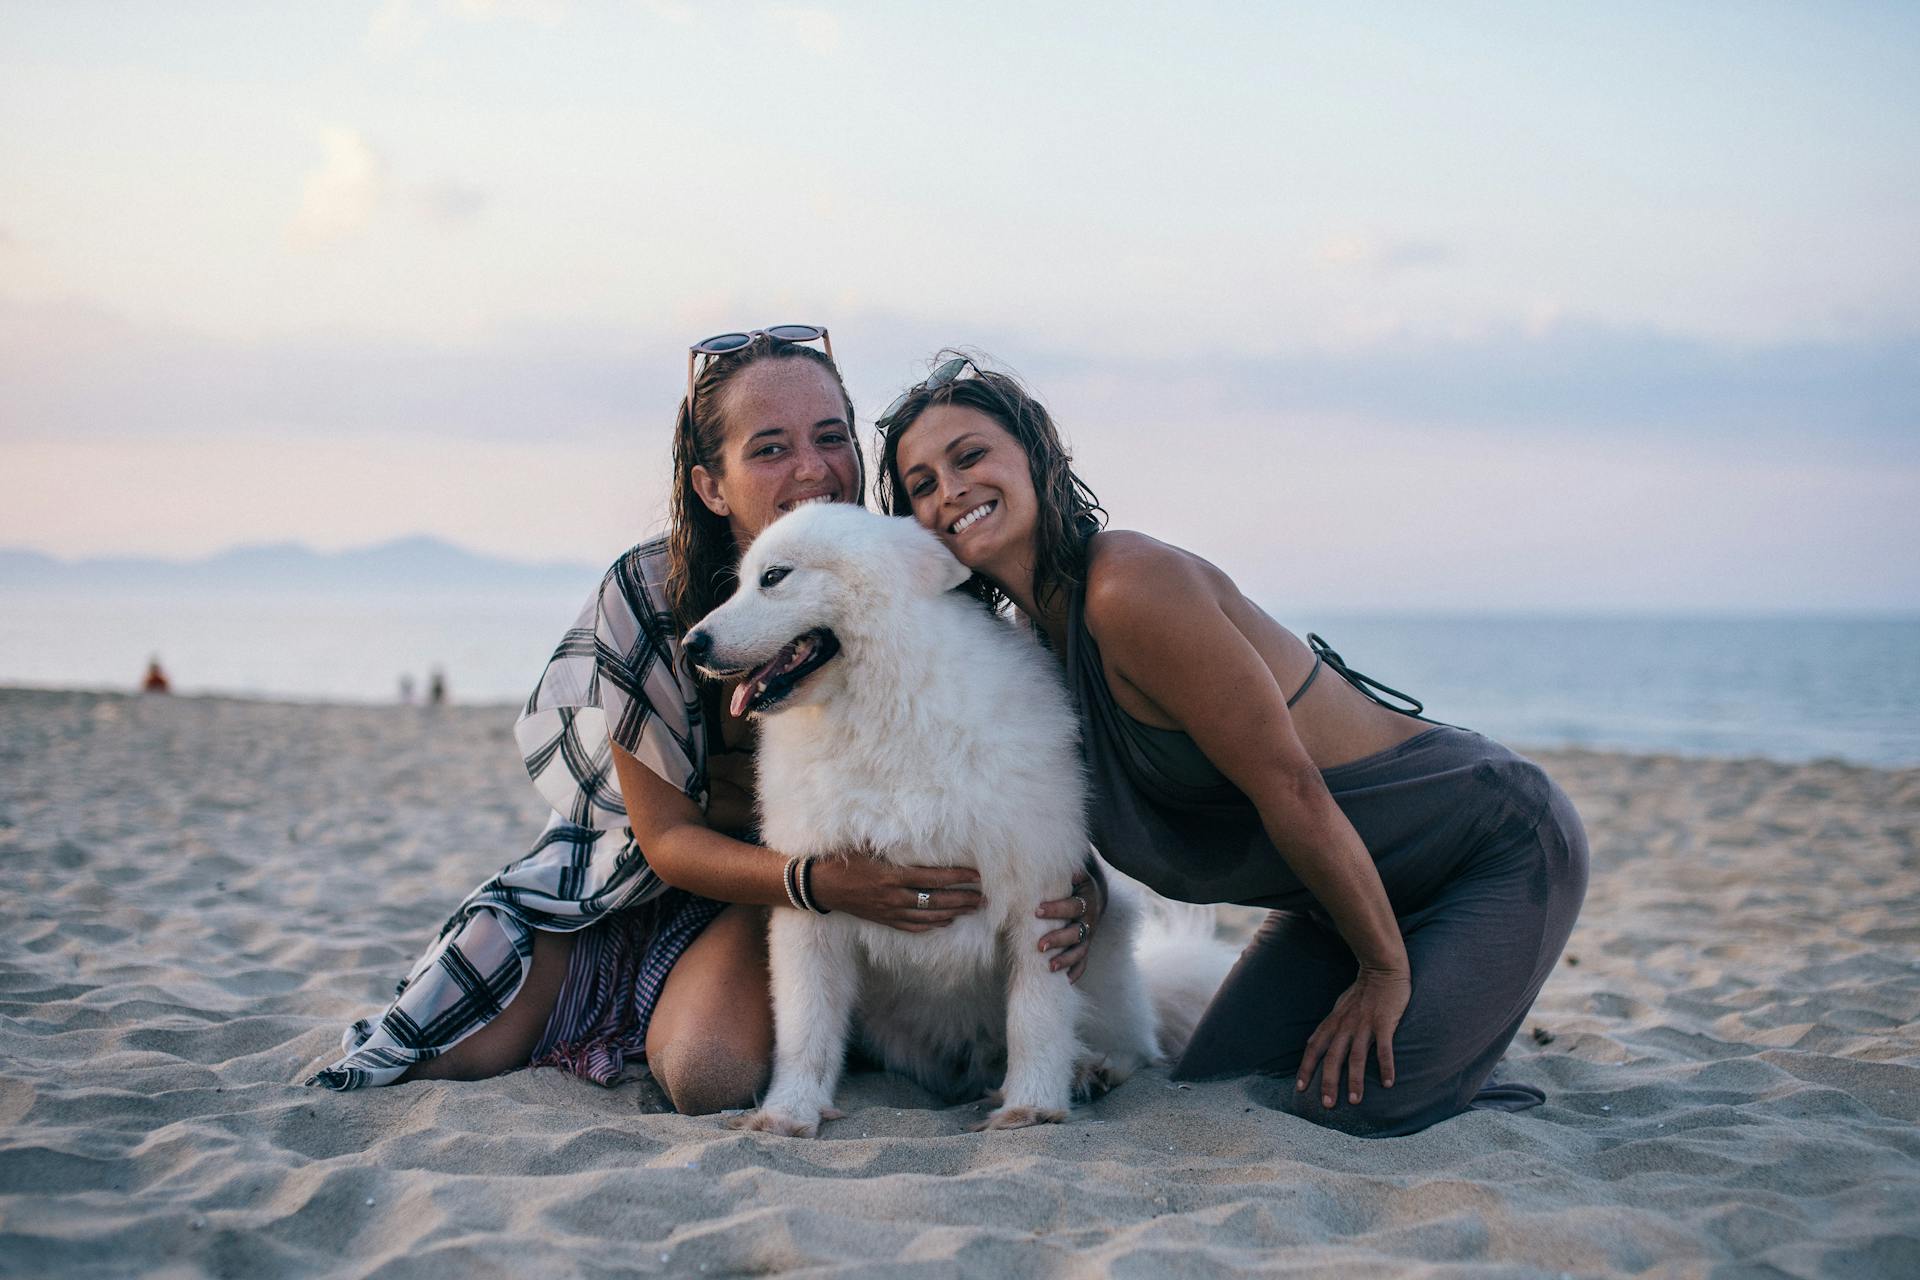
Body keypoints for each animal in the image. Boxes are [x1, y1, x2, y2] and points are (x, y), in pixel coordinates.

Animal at [683, 506, 1213, 1136]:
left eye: (773, 577)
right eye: (741, 581)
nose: (691, 644)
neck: (883, 713)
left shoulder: (1038, 895)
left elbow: (1036, 1017)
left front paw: (1031, 1107)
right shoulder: (810, 914)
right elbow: (804, 1027)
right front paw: (788, 1114)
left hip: (1107, 949)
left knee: (1133, 1045)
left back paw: (1090, 1068)